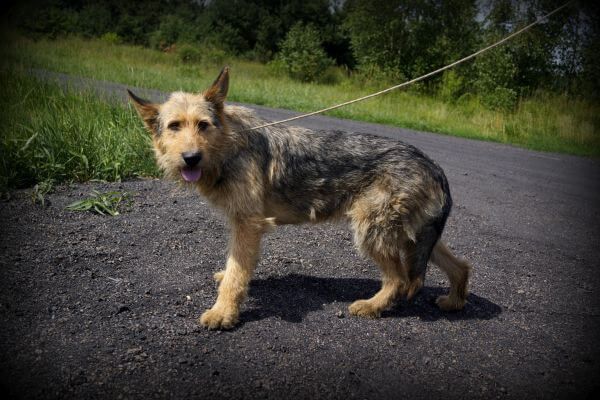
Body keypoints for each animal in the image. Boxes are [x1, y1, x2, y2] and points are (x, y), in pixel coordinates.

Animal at [129, 67, 472, 330]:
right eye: (174, 126)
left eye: (203, 125)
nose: (191, 158)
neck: (228, 145)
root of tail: (434, 166)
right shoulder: (241, 224)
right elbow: (235, 265)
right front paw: (226, 283)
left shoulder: (249, 224)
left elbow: (237, 274)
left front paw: (223, 312)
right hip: (416, 235)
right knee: (459, 265)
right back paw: (454, 301)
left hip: (372, 231)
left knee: (400, 280)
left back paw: (371, 306)